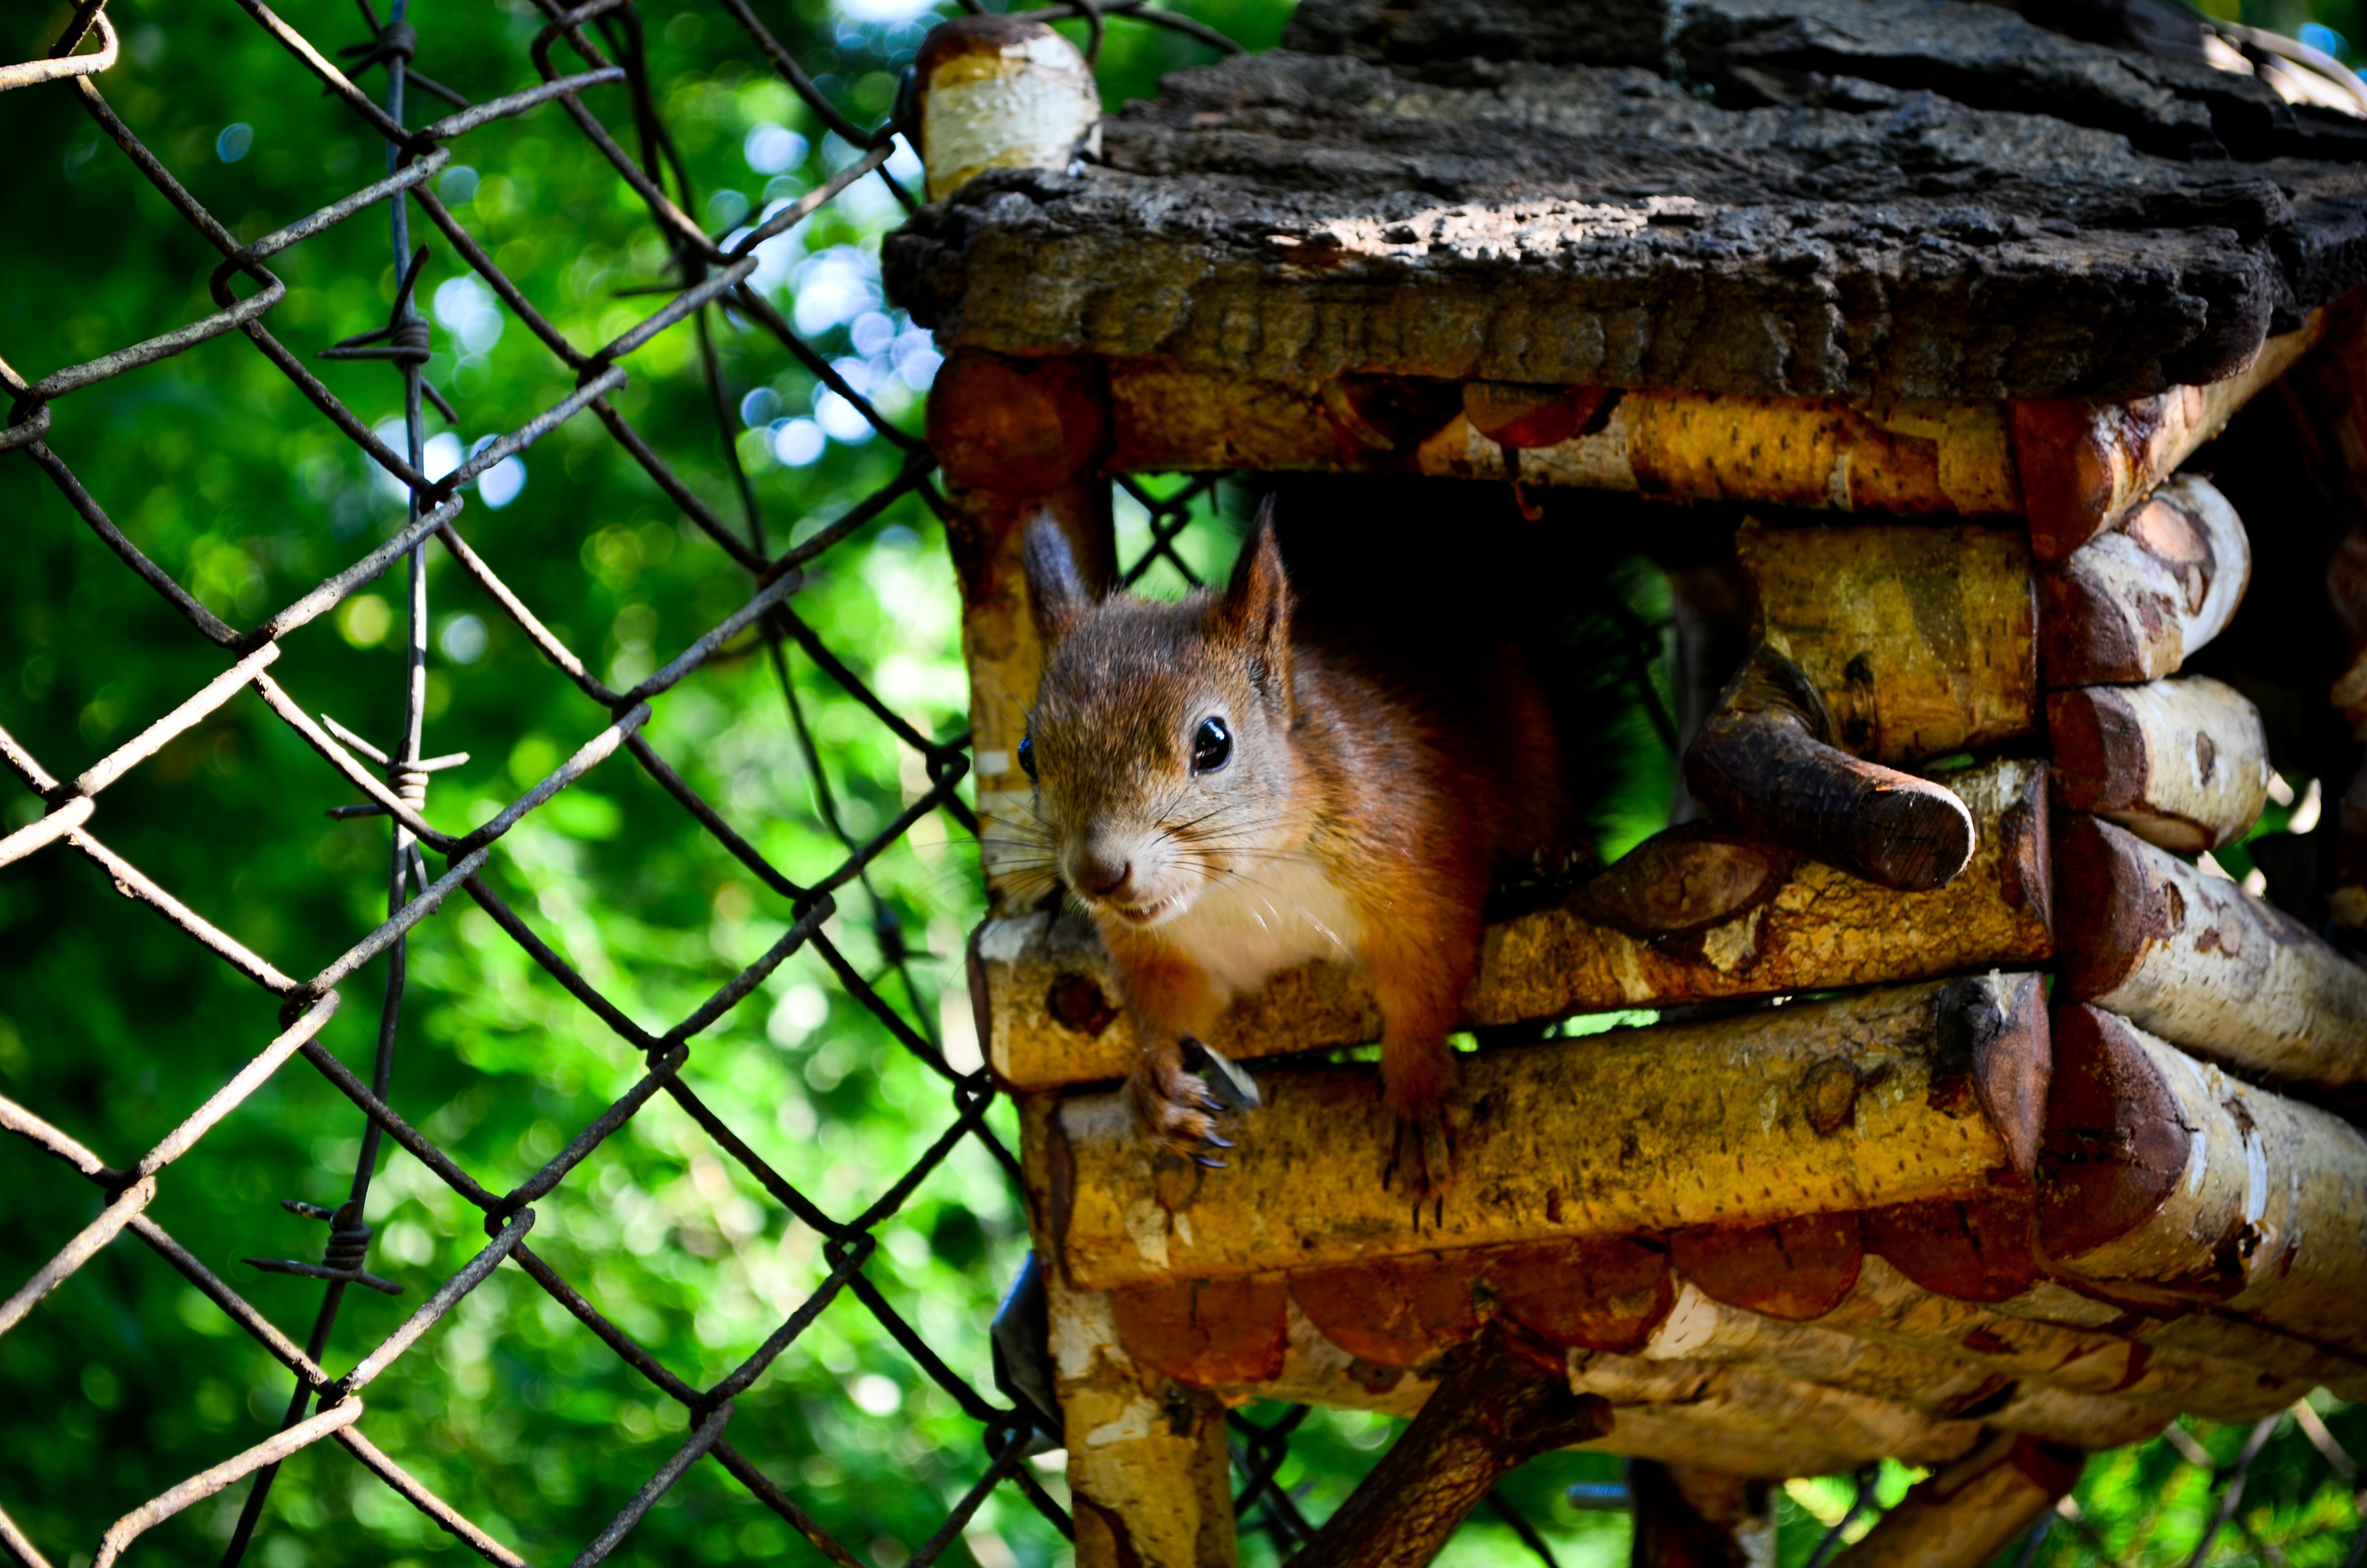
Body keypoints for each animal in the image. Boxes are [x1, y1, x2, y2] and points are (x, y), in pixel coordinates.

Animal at [1014, 497, 1576, 1198]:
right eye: (1027, 754)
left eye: (1213, 742)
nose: (1098, 873)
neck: (1243, 881)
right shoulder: (1168, 951)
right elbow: (1166, 1010)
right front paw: (1156, 1088)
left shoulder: (1416, 855)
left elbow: (1426, 978)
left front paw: (1417, 1093)